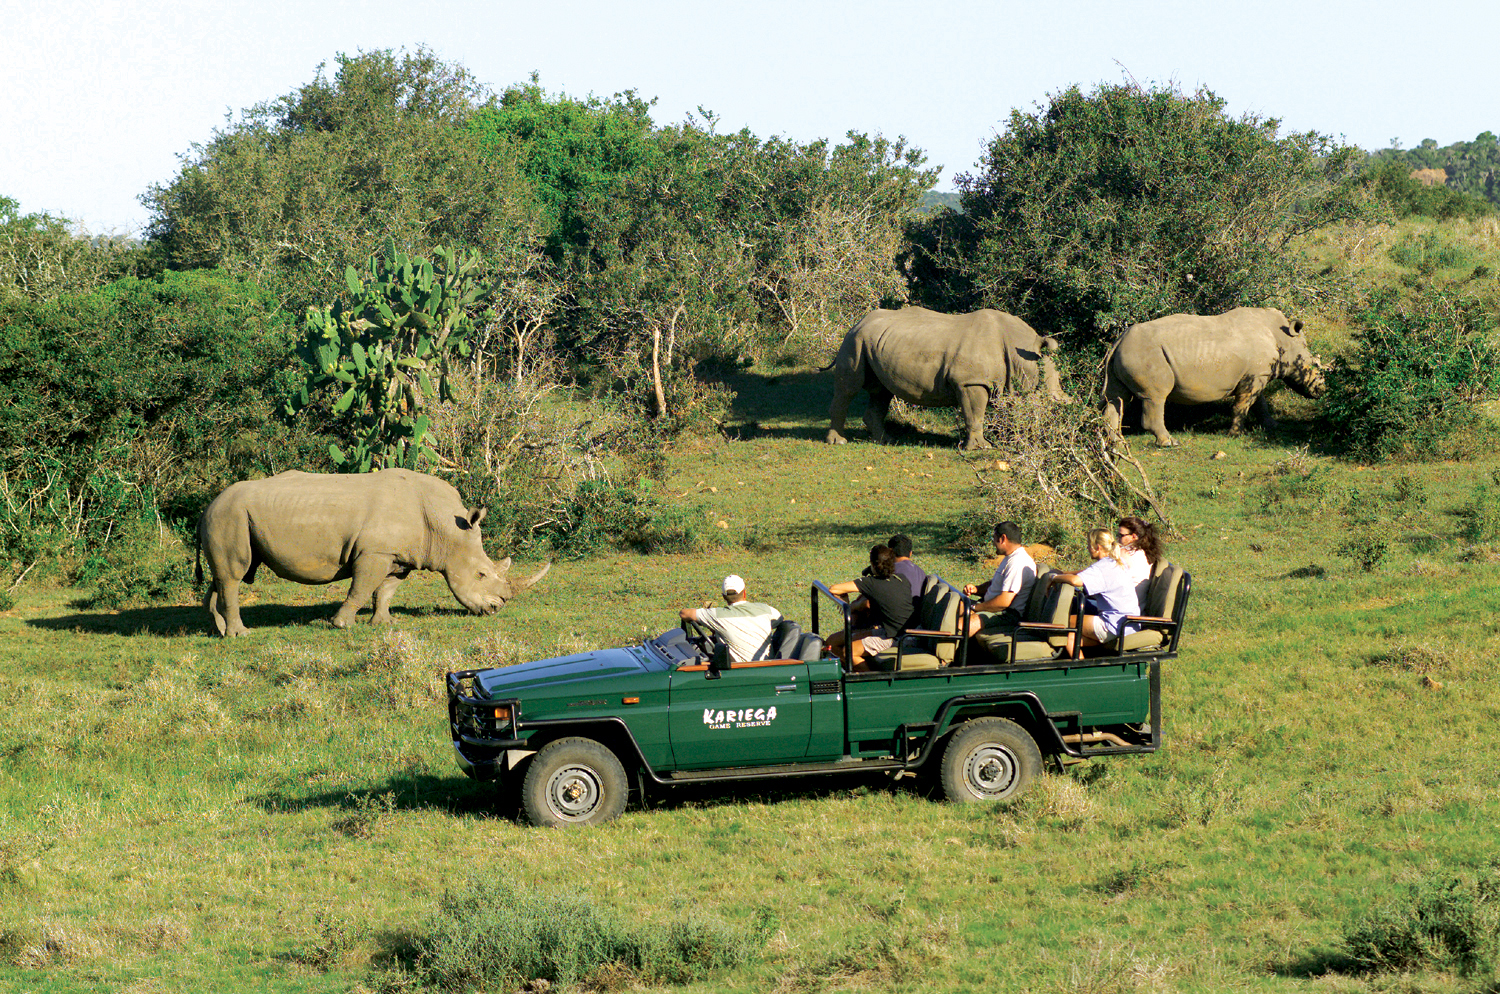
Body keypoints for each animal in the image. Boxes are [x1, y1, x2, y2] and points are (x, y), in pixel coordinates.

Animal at [196, 469, 549, 636]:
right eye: (481, 574)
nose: (496, 609)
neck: (445, 529)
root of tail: (207, 506)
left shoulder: (397, 556)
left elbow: (385, 591)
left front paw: (383, 624)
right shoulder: (374, 552)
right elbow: (361, 588)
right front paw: (342, 625)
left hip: (228, 516)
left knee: (223, 577)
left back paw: (220, 631)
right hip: (229, 515)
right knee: (235, 573)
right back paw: (241, 635)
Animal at [825, 306, 1069, 450]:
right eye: (1047, 404)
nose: (1054, 438)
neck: (1021, 350)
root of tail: (858, 322)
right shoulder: (970, 381)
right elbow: (975, 414)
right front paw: (981, 448)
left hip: (874, 342)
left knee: (881, 392)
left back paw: (886, 441)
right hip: (854, 341)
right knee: (848, 389)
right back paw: (839, 442)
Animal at [1102, 307, 1327, 447]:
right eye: (1314, 365)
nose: (1322, 390)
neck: (1283, 338)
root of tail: (1119, 341)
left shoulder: (1257, 374)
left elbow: (1259, 404)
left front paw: (1273, 426)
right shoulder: (1255, 375)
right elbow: (1243, 405)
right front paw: (1235, 434)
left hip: (1126, 353)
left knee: (1116, 398)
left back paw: (1116, 443)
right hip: (1146, 353)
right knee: (1155, 397)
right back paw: (1169, 443)